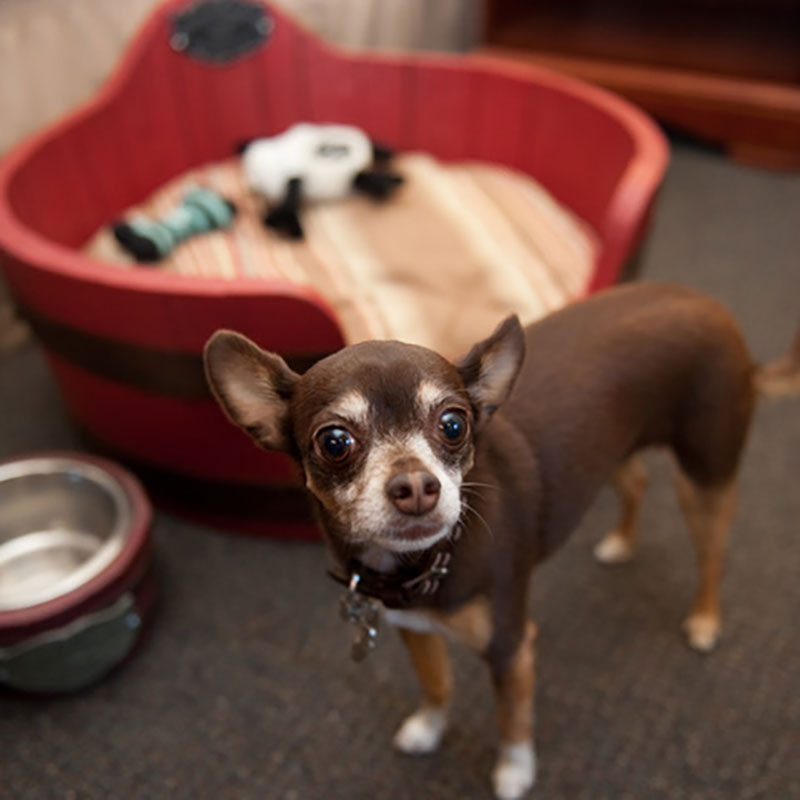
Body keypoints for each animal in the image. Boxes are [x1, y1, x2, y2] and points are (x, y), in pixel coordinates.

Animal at [205, 284, 792, 796]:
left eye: (453, 425)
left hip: (706, 477)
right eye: (333, 442)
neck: (426, 563)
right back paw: (621, 542)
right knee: (637, 481)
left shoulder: (512, 649)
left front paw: (514, 772)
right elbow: (436, 684)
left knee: (713, 552)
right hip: (611, 453)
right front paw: (429, 728)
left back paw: (705, 619)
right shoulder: (414, 630)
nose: (416, 487)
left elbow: (512, 719)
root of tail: (713, 307)